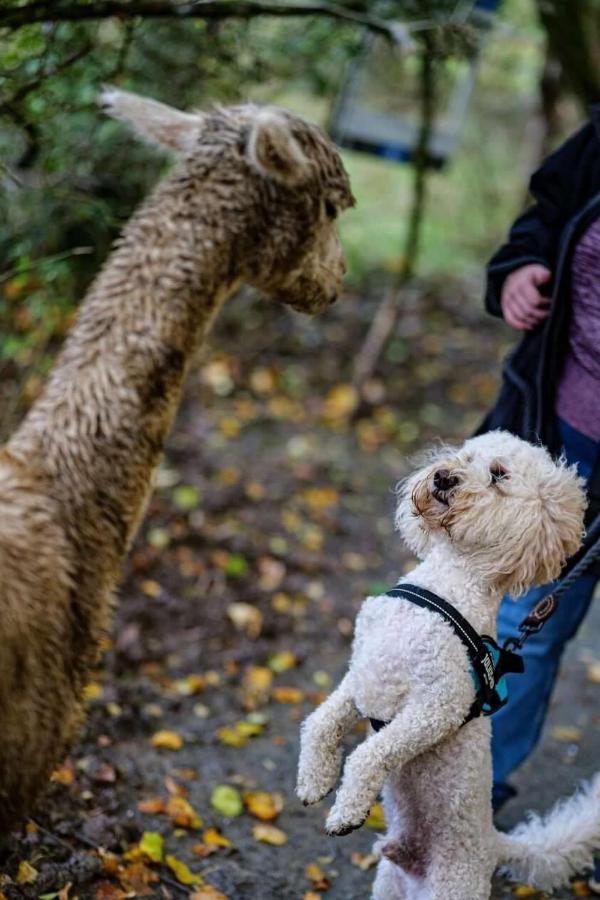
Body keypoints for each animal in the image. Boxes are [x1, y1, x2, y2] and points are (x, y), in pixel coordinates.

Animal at [296, 432, 600, 896]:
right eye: (465, 457)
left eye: (498, 475)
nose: (443, 476)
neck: (448, 582)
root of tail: (493, 843)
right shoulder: (361, 674)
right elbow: (320, 722)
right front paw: (314, 781)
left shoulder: (436, 708)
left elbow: (370, 754)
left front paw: (346, 810)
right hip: (389, 886)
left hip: (453, 884)